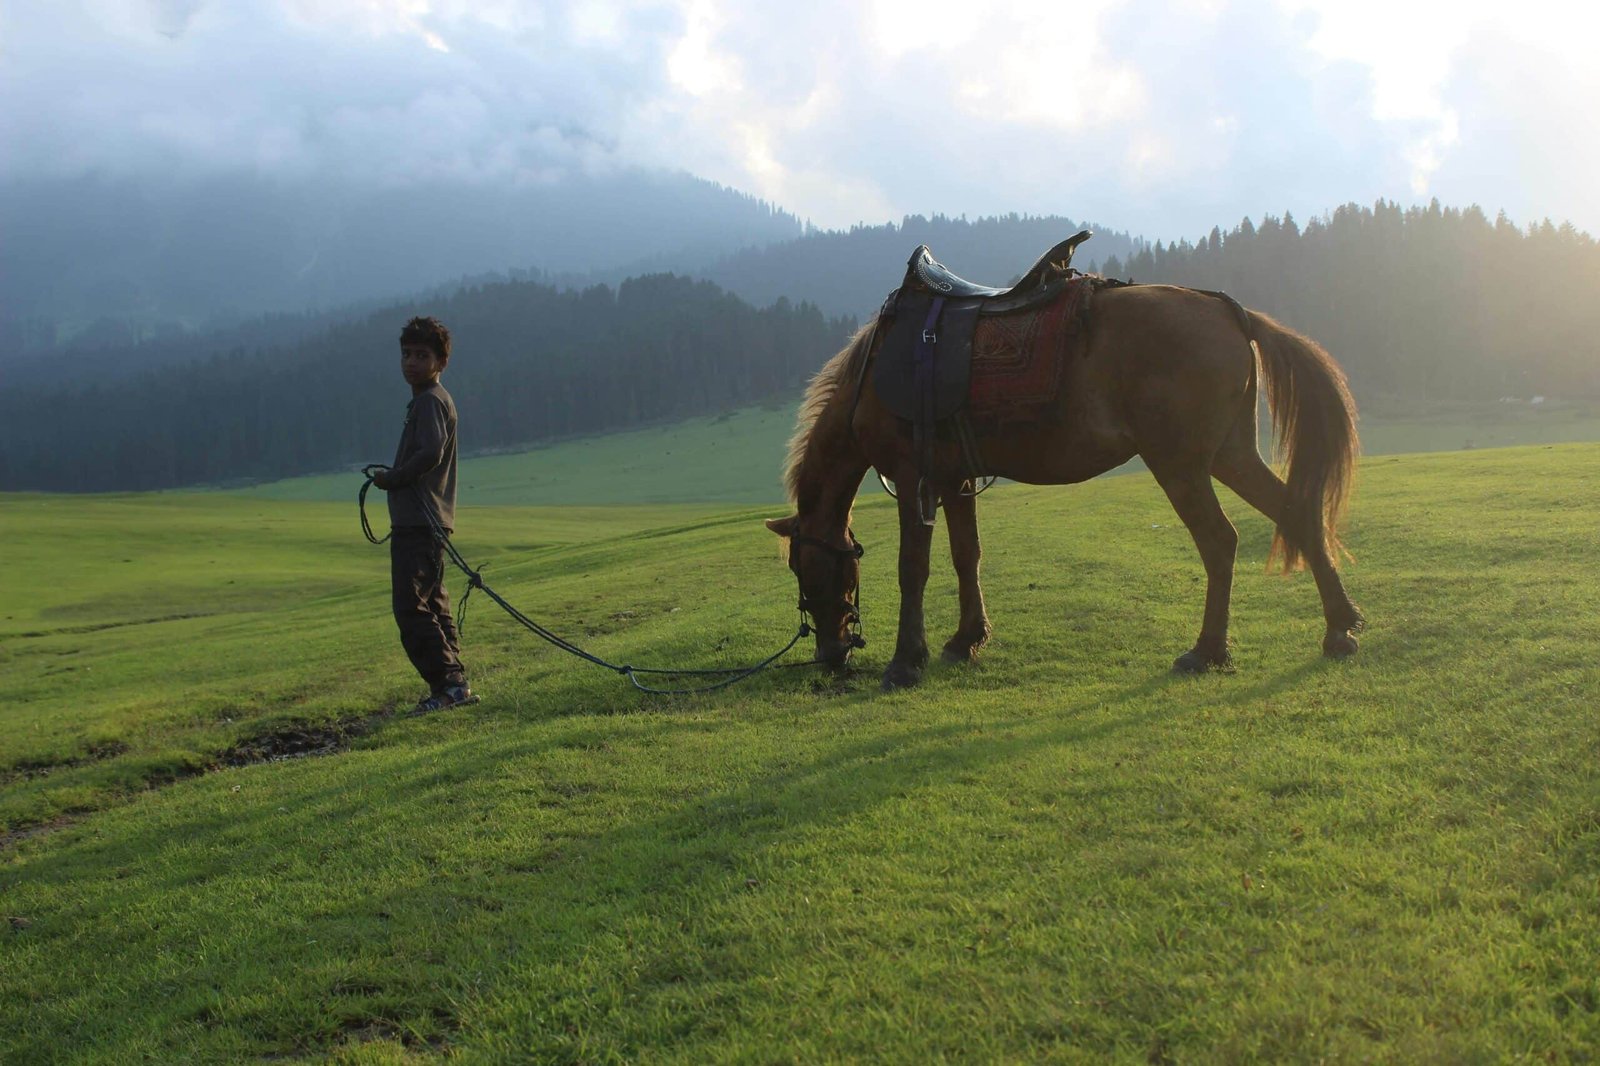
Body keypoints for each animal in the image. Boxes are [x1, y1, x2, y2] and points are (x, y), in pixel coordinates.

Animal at [765, 280, 1363, 689]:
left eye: (804, 567)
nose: (830, 653)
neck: (875, 374)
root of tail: (1227, 310)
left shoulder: (916, 478)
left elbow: (913, 569)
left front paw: (905, 662)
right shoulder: (956, 481)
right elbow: (966, 556)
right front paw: (966, 639)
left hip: (1180, 464)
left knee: (1220, 541)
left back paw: (1207, 650)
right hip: (1229, 456)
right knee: (1296, 511)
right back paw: (1339, 628)